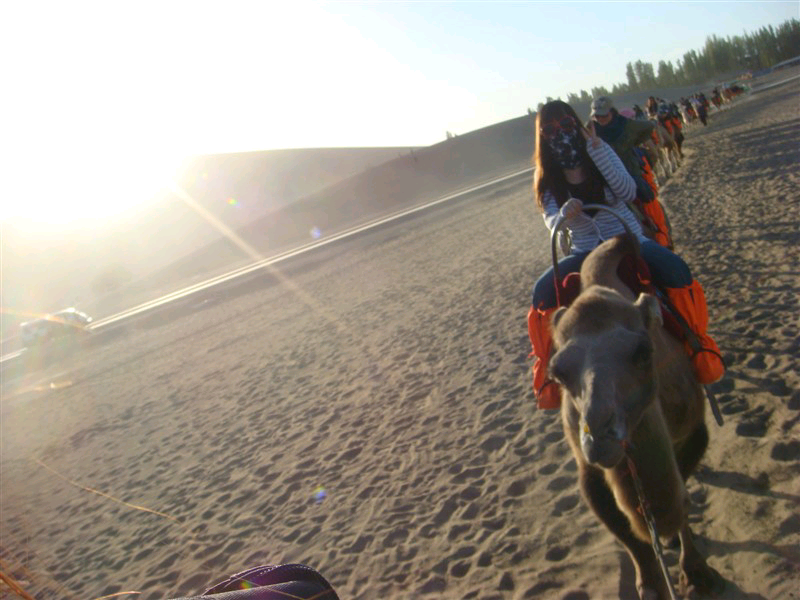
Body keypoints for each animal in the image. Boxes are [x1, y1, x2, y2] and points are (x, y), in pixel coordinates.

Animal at [548, 237, 720, 596]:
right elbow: (629, 536)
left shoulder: (694, 432)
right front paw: (651, 584)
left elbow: (682, 501)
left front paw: (696, 571)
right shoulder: (590, 473)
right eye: (557, 374)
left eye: (643, 353)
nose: (599, 436)